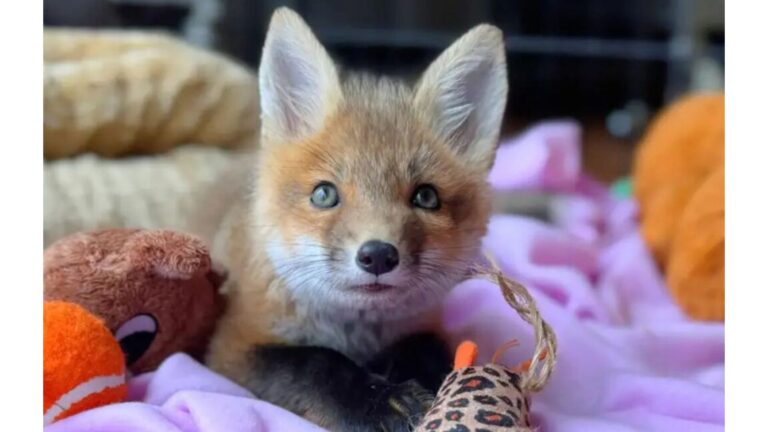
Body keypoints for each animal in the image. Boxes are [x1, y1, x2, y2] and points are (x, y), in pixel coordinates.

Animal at [196, 7, 509, 431]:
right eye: (324, 194)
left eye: (426, 197)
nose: (377, 255)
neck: (355, 335)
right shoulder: (229, 346)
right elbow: (314, 362)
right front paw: (377, 401)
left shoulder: (424, 325)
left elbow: (433, 351)